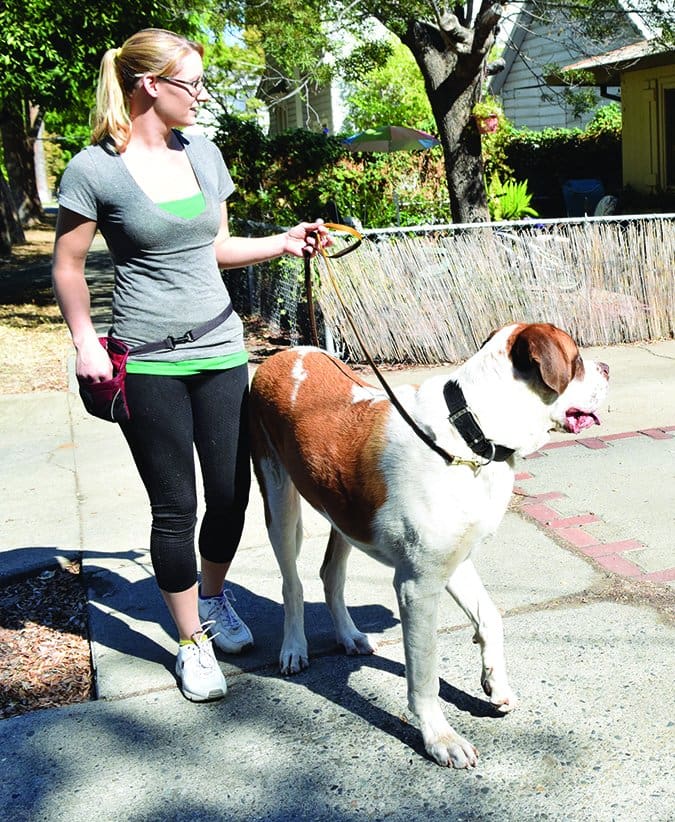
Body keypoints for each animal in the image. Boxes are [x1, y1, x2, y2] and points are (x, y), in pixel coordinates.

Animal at [250, 324, 612, 772]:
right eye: (576, 361)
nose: (606, 367)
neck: (471, 431)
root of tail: (287, 354)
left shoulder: (453, 559)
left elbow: (490, 616)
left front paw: (494, 681)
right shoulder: (417, 586)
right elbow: (424, 674)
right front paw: (440, 738)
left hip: (342, 510)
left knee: (330, 574)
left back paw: (349, 635)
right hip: (278, 498)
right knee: (292, 582)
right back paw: (294, 648)